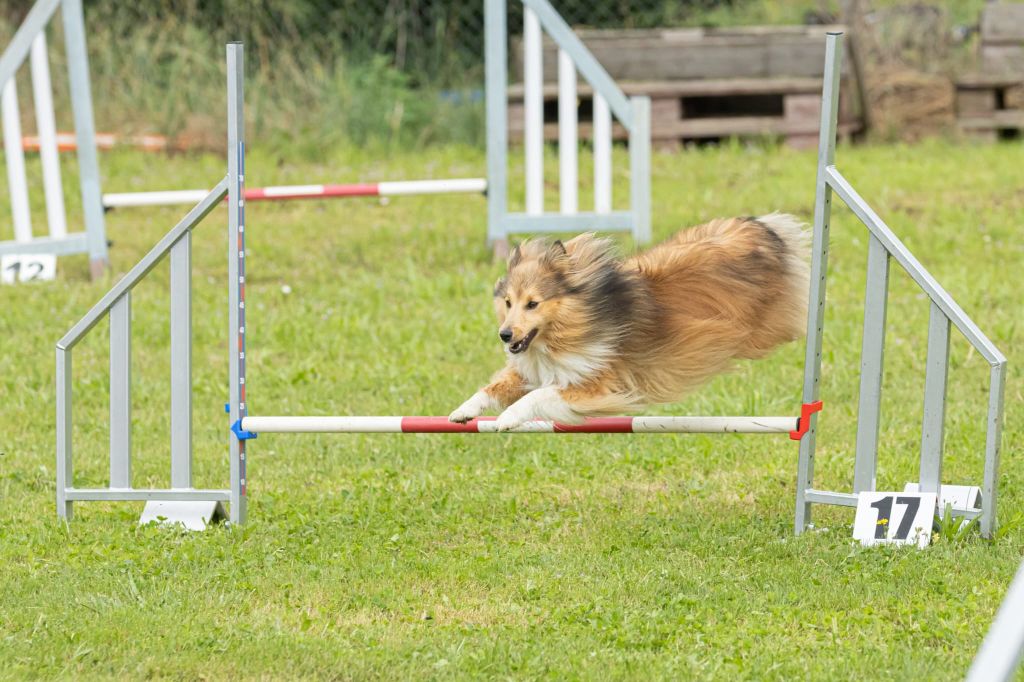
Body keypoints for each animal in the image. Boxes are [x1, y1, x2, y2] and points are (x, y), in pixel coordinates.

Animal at [449, 212, 810, 431]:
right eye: (508, 302)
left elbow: (536, 397)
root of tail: (760, 228)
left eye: (533, 303)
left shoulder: (596, 384)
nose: (505, 335)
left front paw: (506, 419)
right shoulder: (535, 368)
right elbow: (495, 386)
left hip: (765, 331)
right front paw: (463, 411)